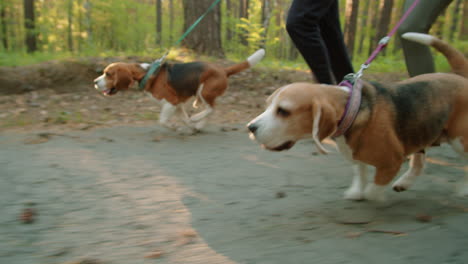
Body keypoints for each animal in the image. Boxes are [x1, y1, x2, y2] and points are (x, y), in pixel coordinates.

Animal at [93, 49, 266, 130]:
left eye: (108, 74)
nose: (94, 82)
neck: (145, 73)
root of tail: (223, 70)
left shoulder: (170, 103)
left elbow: (162, 121)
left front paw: (175, 127)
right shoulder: (178, 105)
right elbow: (184, 118)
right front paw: (191, 127)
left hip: (205, 91)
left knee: (211, 108)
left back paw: (197, 118)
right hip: (200, 94)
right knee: (210, 109)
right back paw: (199, 124)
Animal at [247, 33, 466, 202]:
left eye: (283, 111)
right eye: (268, 105)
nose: (250, 128)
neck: (351, 109)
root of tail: (460, 76)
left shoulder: (392, 162)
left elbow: (374, 188)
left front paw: (373, 196)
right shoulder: (357, 155)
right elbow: (360, 173)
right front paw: (357, 191)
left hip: (459, 140)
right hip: (422, 131)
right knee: (419, 162)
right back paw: (404, 183)